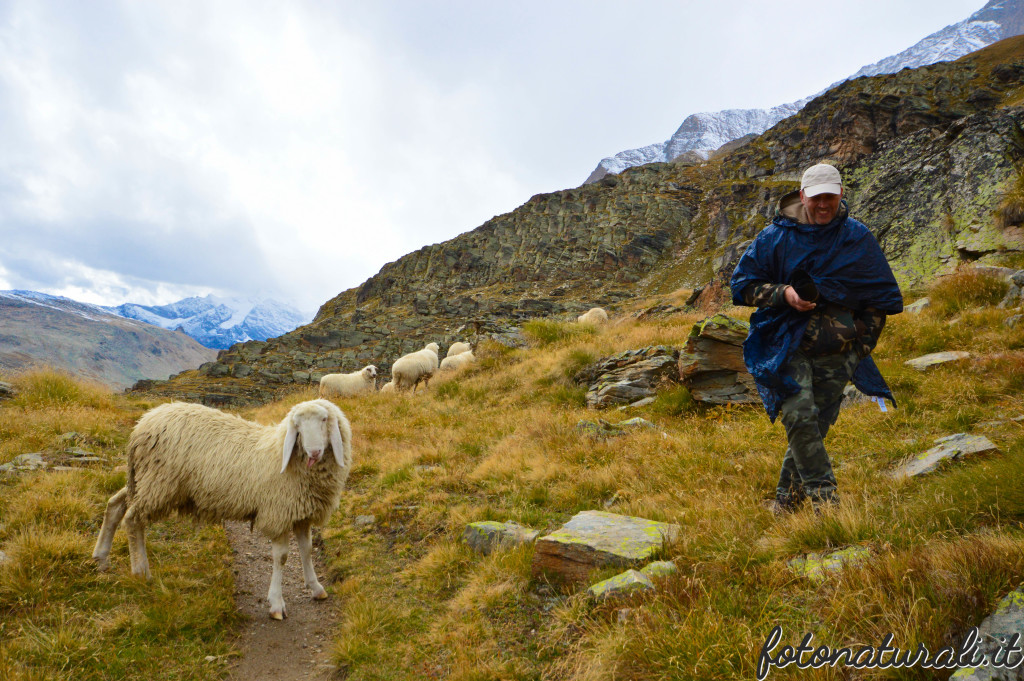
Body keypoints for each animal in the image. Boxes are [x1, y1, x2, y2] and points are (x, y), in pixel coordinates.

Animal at [93, 395, 356, 618]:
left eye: (324, 420)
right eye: (297, 426)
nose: (314, 452)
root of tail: (141, 425)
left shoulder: (301, 512)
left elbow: (307, 550)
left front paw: (316, 587)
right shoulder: (278, 512)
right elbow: (282, 557)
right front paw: (276, 603)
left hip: (145, 481)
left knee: (115, 505)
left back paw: (101, 558)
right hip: (158, 483)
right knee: (133, 519)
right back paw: (140, 571)